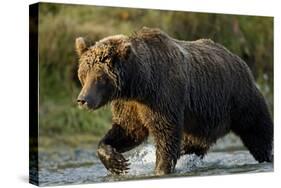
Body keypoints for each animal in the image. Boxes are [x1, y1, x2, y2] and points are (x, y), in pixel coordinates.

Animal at [74, 27, 272, 176]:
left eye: (100, 77)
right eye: (83, 74)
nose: (83, 100)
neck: (139, 84)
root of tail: (239, 59)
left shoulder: (163, 97)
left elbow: (165, 135)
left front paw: (160, 169)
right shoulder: (130, 105)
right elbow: (128, 130)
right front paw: (117, 162)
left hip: (240, 99)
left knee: (258, 133)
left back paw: (267, 157)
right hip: (202, 122)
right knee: (192, 145)